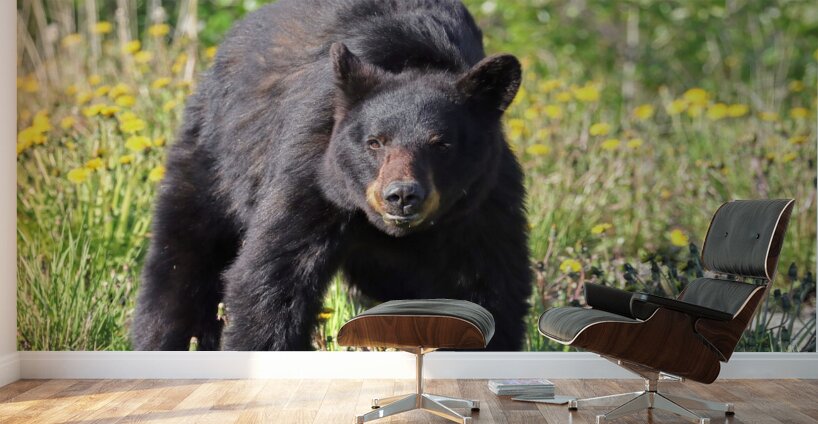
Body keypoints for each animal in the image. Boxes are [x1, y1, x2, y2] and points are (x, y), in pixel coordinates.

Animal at [131, 0, 532, 351]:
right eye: (375, 142)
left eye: (442, 144)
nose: (402, 195)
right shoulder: (313, 171)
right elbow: (272, 280)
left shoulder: (483, 206)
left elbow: (490, 291)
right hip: (217, 159)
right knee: (185, 260)